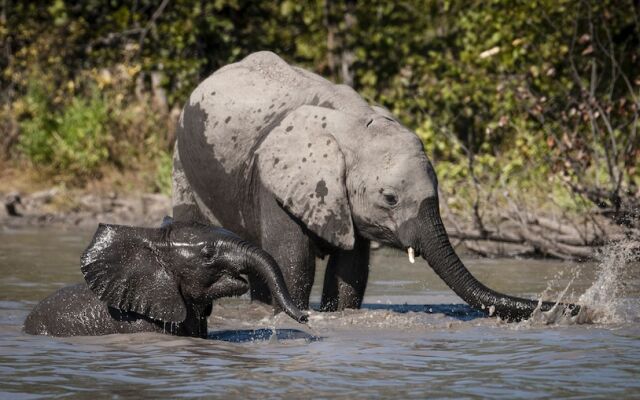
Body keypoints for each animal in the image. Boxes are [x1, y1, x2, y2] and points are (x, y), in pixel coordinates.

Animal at [171, 50, 580, 318]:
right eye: (390, 198)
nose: (575, 308)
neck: (353, 125)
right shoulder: (275, 184)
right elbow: (293, 264)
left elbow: (350, 273)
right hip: (182, 159)